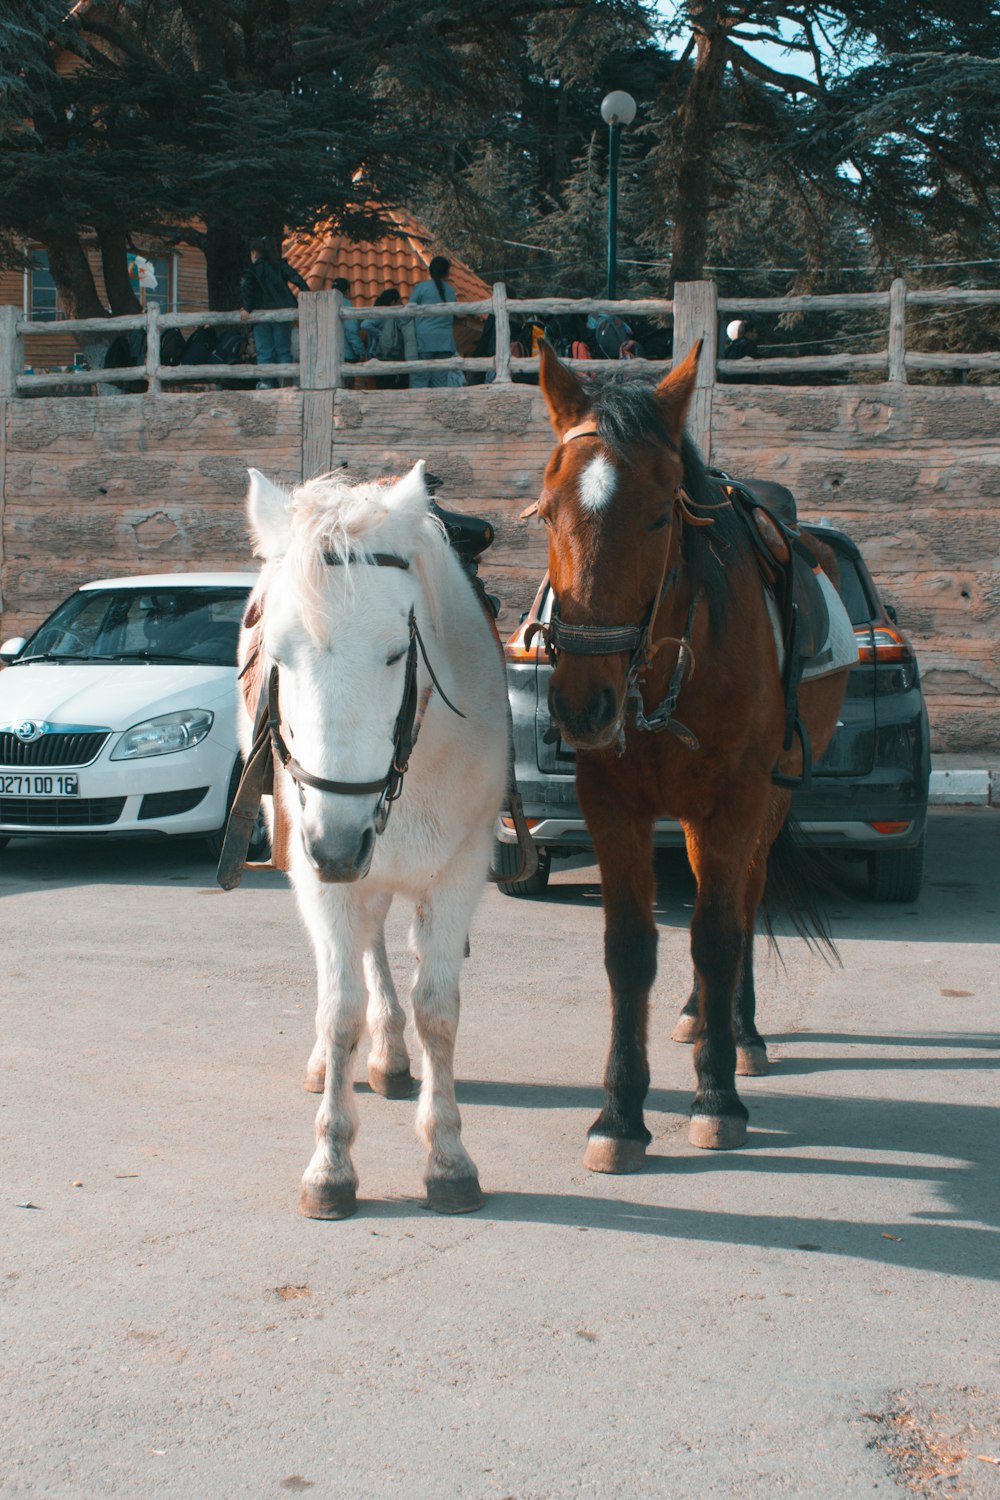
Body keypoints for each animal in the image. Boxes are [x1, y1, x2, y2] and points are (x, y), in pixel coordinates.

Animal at [239, 465, 509, 1218]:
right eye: (278, 655)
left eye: (395, 652)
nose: (336, 848)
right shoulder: (320, 866)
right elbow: (340, 1011)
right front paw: (330, 1163)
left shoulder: (458, 871)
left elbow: (438, 1011)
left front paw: (448, 1157)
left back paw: (391, 1056)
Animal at [536, 340, 851, 1170]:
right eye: (547, 511)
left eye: (656, 517)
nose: (581, 703)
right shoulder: (612, 807)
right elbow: (629, 949)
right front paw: (619, 1114)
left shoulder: (736, 803)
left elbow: (716, 935)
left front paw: (717, 1098)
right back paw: (695, 1014)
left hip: (769, 802)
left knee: (740, 904)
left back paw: (737, 1033)